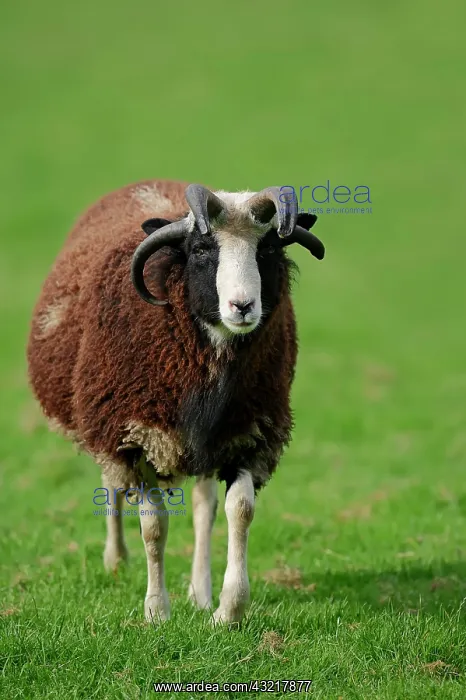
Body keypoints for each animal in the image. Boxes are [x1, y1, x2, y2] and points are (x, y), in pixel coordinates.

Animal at [27, 179, 325, 624]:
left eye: (269, 248)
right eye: (201, 249)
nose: (242, 306)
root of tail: (147, 184)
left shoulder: (248, 434)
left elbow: (240, 511)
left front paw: (228, 610)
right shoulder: (136, 434)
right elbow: (154, 527)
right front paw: (156, 611)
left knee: (203, 506)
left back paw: (199, 592)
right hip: (103, 421)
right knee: (111, 484)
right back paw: (116, 561)